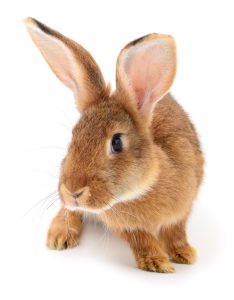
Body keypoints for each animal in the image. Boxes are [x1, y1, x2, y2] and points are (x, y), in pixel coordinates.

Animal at [23, 17, 203, 274]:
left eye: (117, 142)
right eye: (73, 136)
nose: (74, 191)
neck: (144, 187)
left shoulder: (184, 207)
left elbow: (176, 231)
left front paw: (184, 254)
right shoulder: (124, 226)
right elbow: (141, 239)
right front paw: (156, 262)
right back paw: (60, 236)